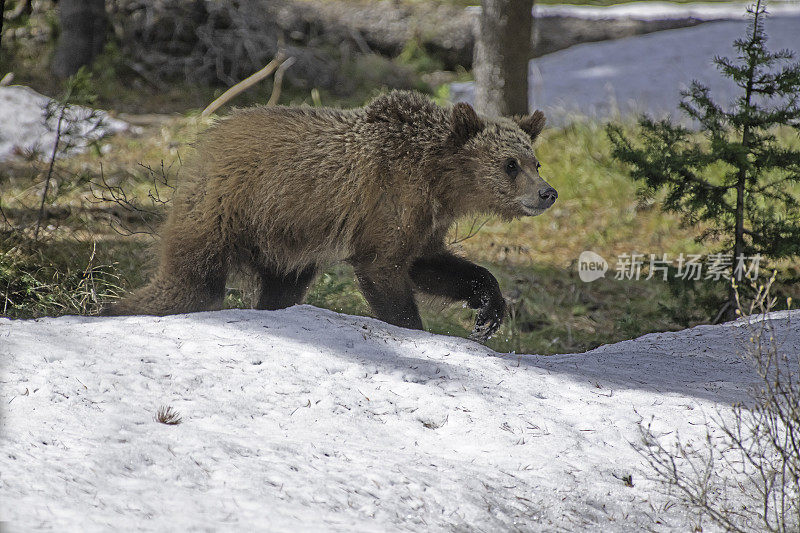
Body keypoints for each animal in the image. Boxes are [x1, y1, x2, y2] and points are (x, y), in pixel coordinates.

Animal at [104, 90, 556, 340]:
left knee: (281, 289)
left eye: (535, 161)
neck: (439, 181)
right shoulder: (388, 201)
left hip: (283, 244)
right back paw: (114, 309)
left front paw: (489, 311)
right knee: (190, 282)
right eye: (510, 164)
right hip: (229, 209)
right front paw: (412, 326)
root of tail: (209, 134)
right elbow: (382, 269)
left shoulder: (425, 221)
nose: (547, 193)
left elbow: (428, 265)